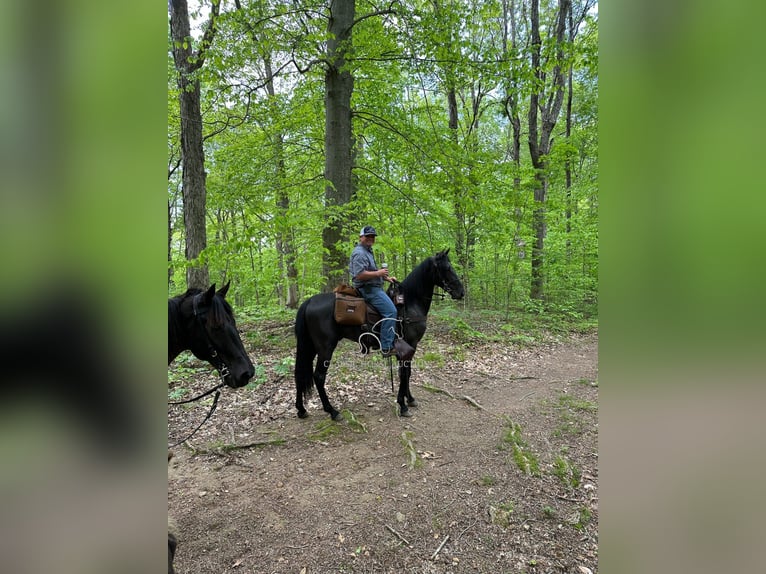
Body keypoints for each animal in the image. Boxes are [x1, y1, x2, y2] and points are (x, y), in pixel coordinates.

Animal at [294, 250, 464, 420]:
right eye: (447, 268)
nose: (461, 292)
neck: (410, 303)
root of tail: (309, 301)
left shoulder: (407, 348)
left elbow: (406, 373)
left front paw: (410, 399)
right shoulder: (410, 344)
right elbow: (405, 374)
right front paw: (403, 405)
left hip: (310, 346)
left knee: (300, 373)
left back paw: (301, 409)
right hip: (326, 347)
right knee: (319, 376)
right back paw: (333, 411)